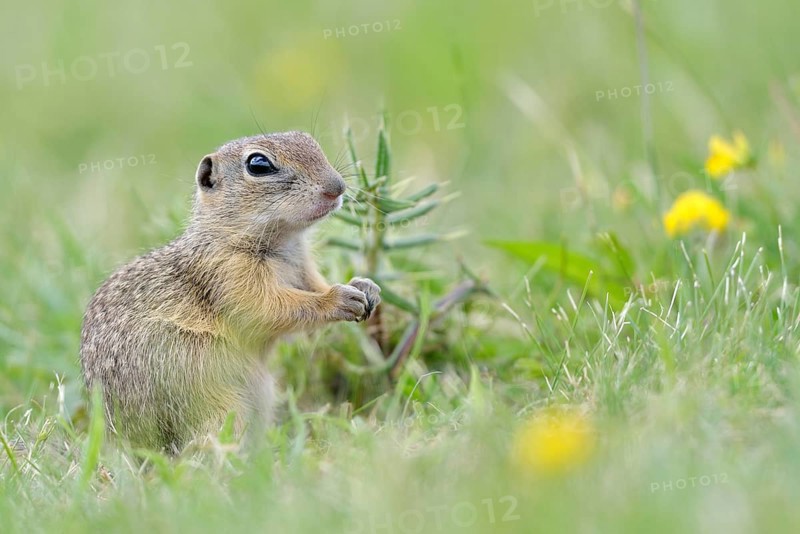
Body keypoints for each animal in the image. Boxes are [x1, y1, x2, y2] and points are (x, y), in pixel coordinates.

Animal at [80, 131, 381, 453]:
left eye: (309, 140)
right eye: (258, 165)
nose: (337, 187)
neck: (281, 243)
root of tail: (127, 440)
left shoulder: (302, 269)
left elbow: (314, 287)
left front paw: (365, 286)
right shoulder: (229, 276)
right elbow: (270, 310)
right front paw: (338, 299)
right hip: (213, 400)